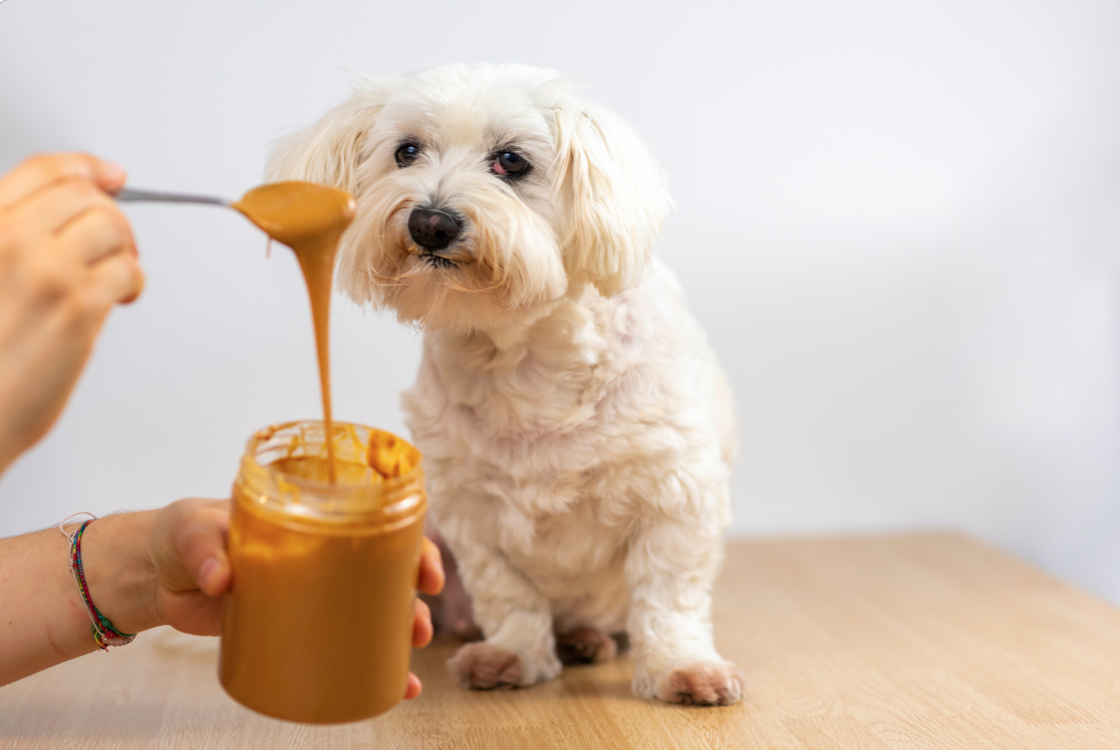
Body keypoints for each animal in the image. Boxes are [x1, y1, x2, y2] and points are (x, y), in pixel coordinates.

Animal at [265, 61, 743, 707]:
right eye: (406, 151)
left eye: (512, 161)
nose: (430, 222)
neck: (521, 359)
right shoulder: (471, 511)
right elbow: (509, 595)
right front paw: (513, 654)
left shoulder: (676, 494)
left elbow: (668, 597)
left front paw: (682, 666)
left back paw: (588, 638)